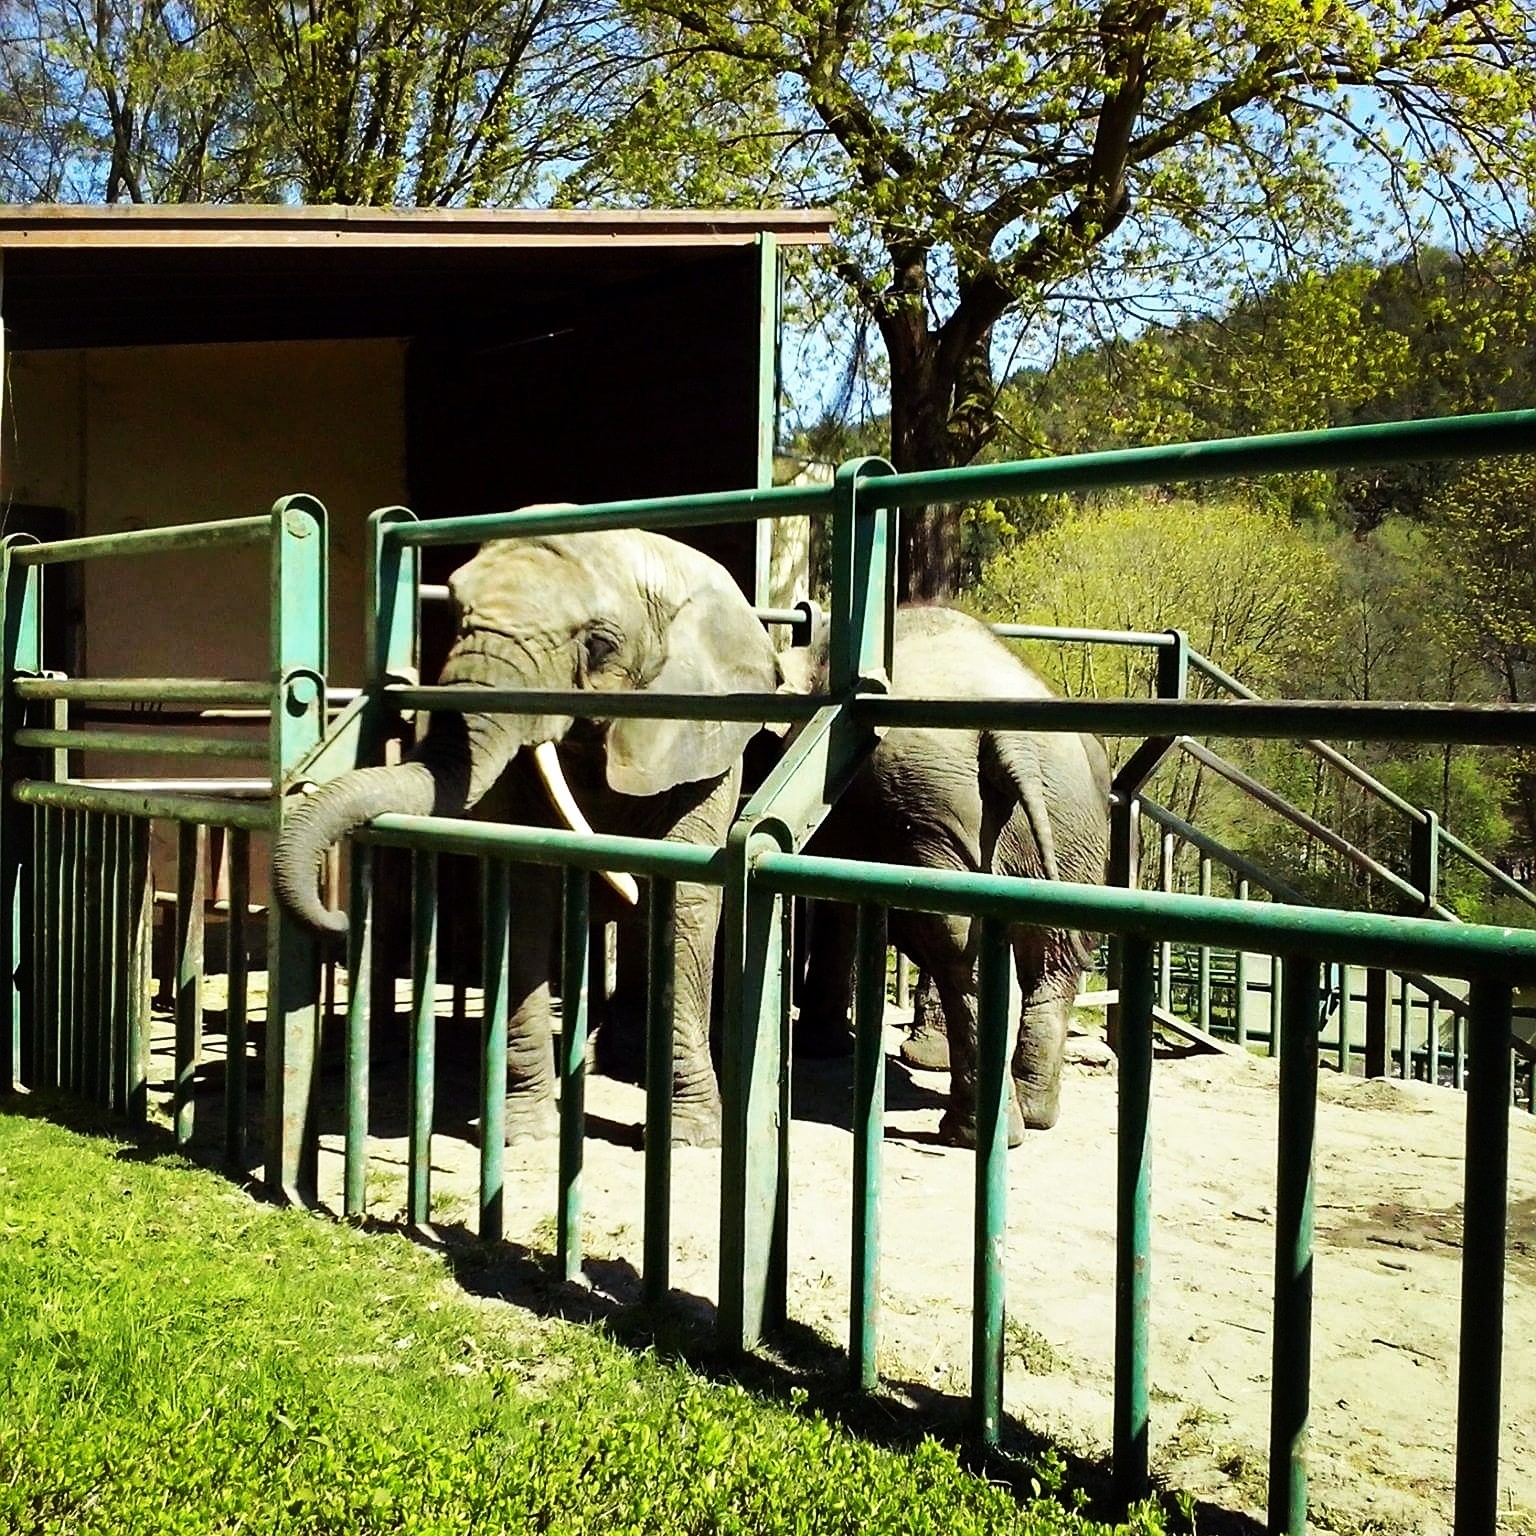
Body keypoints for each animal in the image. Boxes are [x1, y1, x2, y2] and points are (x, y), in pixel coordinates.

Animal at [273, 525, 781, 1147]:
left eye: (600, 645)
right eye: (457, 613)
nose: (339, 919)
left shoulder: (703, 739)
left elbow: (682, 898)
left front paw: (689, 1139)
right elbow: (522, 887)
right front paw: (524, 1135)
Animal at [790, 604, 1111, 1148]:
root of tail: (1015, 742)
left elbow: (839, 905)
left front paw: (821, 1045)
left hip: (936, 800)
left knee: (957, 942)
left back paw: (972, 1130)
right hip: (1068, 821)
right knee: (1043, 951)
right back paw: (1031, 1116)